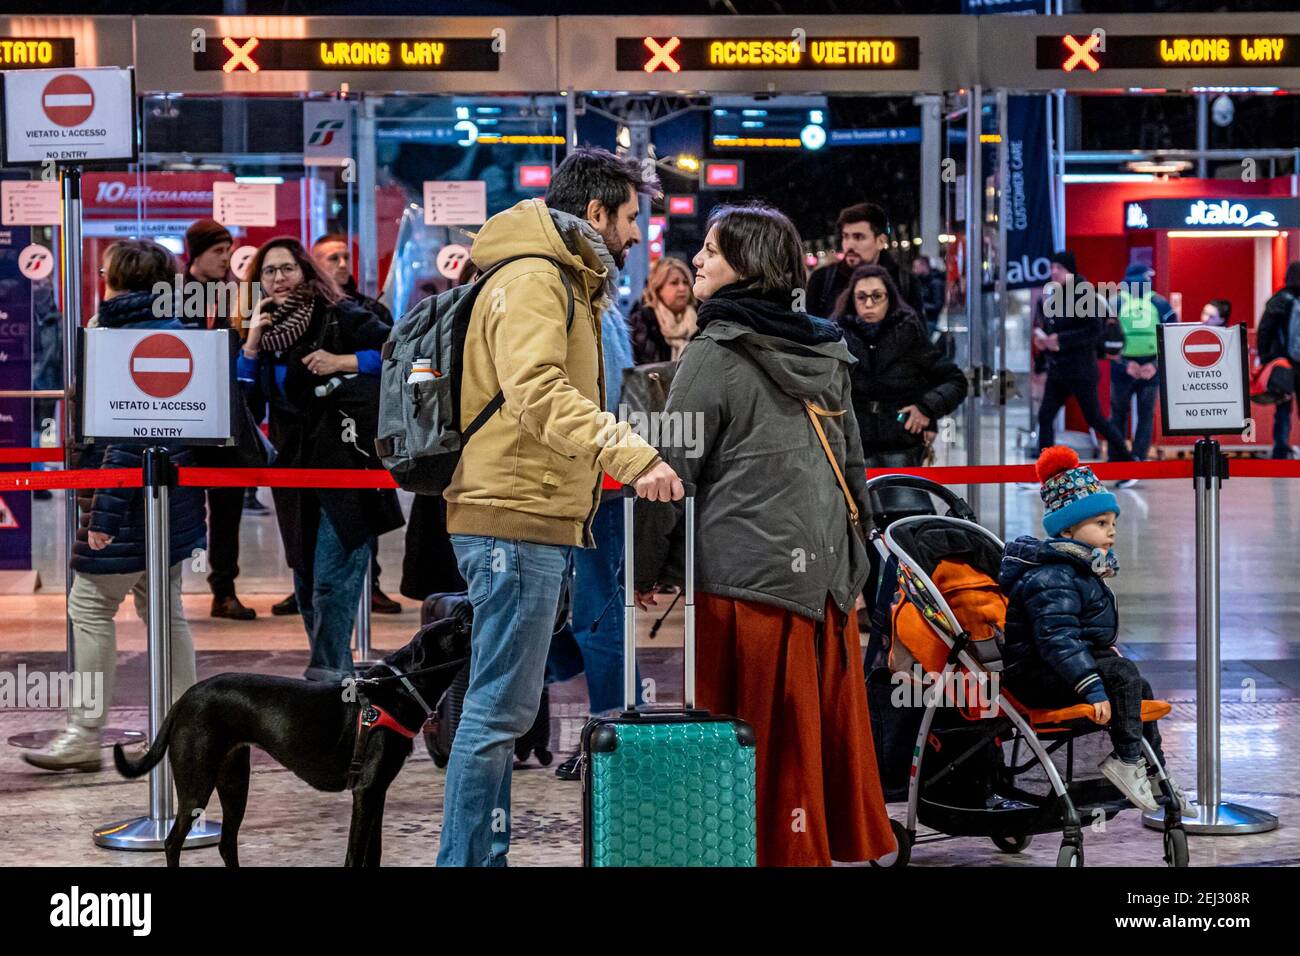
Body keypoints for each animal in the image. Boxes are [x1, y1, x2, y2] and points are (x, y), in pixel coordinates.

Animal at [115, 616, 473, 868]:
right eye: (459, 626)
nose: (473, 609)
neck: (399, 688)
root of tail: (183, 700)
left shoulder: (377, 792)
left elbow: (374, 854)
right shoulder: (367, 791)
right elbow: (355, 855)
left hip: (234, 782)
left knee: (227, 842)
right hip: (197, 784)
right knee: (173, 842)